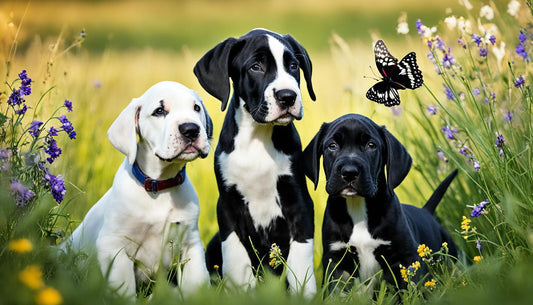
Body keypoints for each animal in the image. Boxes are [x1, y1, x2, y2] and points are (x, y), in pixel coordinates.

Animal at [62, 81, 212, 296]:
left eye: (196, 108)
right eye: (159, 111)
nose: (191, 129)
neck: (160, 184)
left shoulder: (190, 244)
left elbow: (195, 284)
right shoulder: (113, 245)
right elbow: (124, 287)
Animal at [193, 28, 316, 294]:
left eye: (293, 66)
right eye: (256, 67)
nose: (288, 96)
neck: (258, 137)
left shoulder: (299, 202)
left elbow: (301, 258)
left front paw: (304, 294)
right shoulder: (228, 205)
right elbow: (236, 257)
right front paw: (241, 292)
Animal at [304, 113, 458, 290]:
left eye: (371, 145)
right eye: (332, 146)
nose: (349, 172)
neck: (357, 206)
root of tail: (426, 211)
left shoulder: (407, 257)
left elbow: (412, 288)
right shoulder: (335, 260)